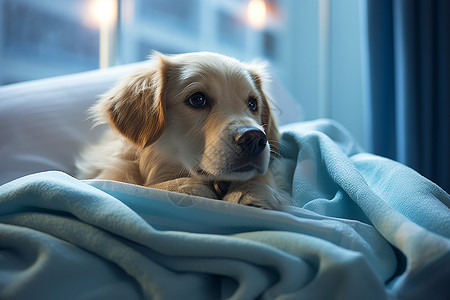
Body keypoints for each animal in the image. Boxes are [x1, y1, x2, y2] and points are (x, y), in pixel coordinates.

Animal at [76, 51, 290, 210]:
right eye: (197, 99)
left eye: (253, 104)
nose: (254, 138)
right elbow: (136, 186)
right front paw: (184, 187)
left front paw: (251, 190)